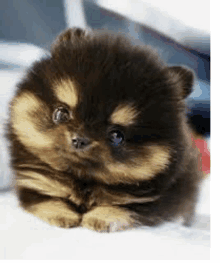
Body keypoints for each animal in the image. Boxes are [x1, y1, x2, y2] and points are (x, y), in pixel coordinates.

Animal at [5, 27, 203, 232]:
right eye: (61, 114)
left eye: (117, 135)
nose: (79, 139)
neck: (83, 180)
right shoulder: (34, 179)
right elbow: (46, 196)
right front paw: (62, 214)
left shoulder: (151, 199)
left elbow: (124, 206)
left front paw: (101, 217)